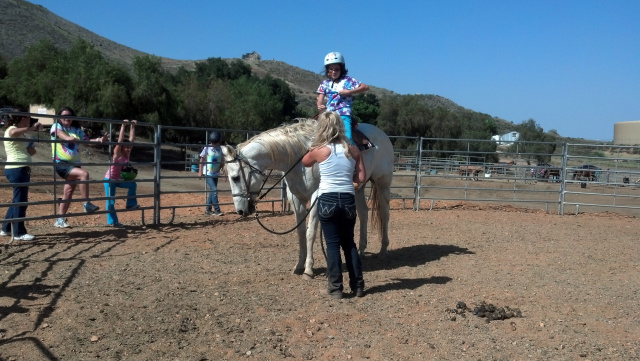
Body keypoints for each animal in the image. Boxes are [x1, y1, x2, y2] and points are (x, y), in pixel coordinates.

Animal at [221, 118, 396, 278]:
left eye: (235, 177)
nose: (241, 211)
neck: (298, 157)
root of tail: (382, 134)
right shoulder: (295, 198)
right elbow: (300, 233)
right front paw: (299, 265)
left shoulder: (316, 197)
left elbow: (310, 232)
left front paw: (308, 269)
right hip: (359, 187)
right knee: (364, 213)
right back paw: (361, 251)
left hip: (383, 182)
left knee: (385, 214)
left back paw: (383, 250)